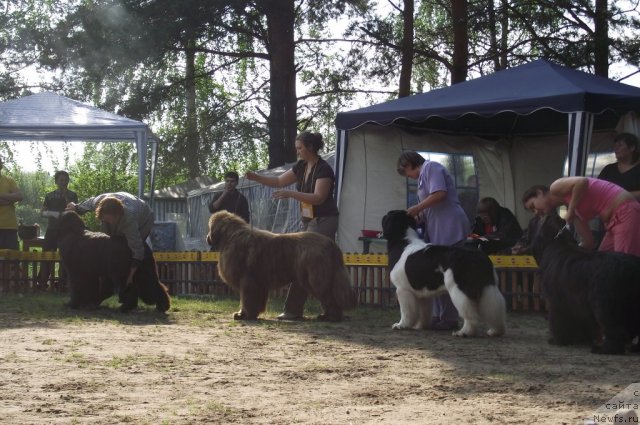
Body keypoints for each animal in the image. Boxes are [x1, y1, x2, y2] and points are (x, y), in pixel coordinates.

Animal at [528, 224, 640, 352]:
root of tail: (631, 267)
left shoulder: (557, 302)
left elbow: (558, 321)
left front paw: (558, 340)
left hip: (605, 306)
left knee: (615, 330)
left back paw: (603, 349)